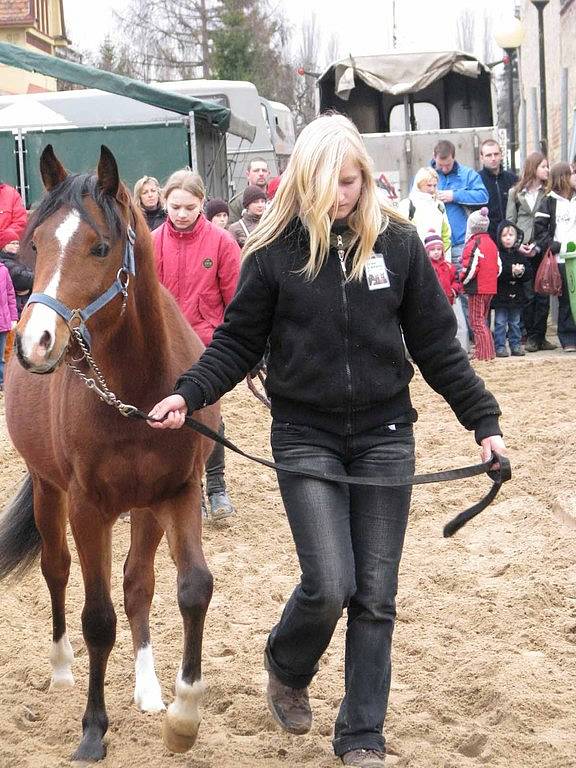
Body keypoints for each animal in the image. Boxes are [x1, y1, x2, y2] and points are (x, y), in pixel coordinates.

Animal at [0, 146, 219, 760]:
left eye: (99, 247)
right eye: (35, 243)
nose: (35, 342)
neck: (137, 391)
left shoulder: (179, 493)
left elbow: (191, 588)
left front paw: (183, 715)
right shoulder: (86, 508)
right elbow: (96, 617)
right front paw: (93, 730)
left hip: (145, 508)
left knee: (137, 584)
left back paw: (147, 689)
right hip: (48, 491)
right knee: (56, 570)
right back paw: (61, 669)